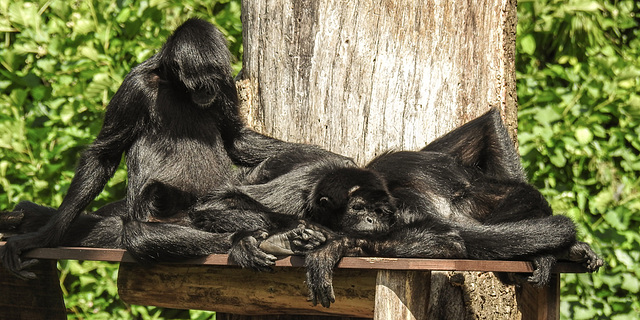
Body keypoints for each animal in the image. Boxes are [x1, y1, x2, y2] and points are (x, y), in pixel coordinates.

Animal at [0, 17, 342, 278]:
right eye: (198, 82)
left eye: (213, 82)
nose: (207, 92)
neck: (176, 88)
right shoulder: (135, 84)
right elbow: (103, 155)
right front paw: (44, 236)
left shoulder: (226, 83)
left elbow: (236, 139)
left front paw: (330, 158)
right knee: (140, 231)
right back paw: (249, 241)